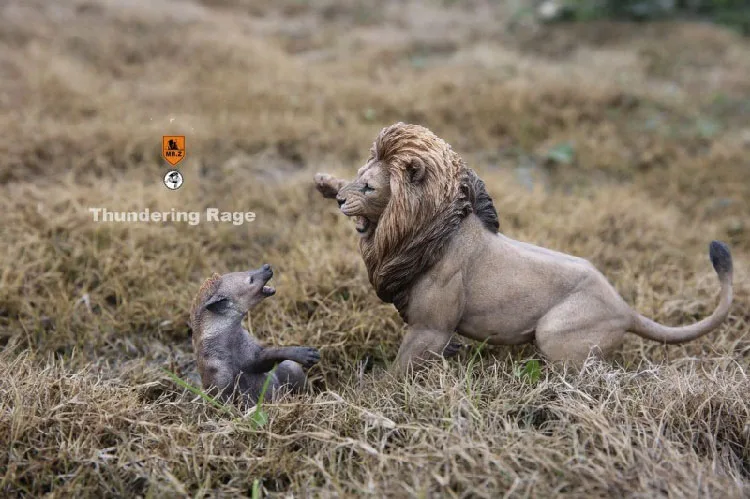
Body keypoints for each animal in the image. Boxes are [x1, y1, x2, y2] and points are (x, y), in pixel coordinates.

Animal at [314, 122, 734, 374]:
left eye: (369, 186)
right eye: (356, 176)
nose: (340, 200)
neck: (420, 230)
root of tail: (624, 309)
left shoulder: (429, 328)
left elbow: (399, 370)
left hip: (554, 332)